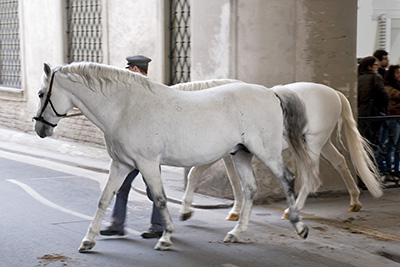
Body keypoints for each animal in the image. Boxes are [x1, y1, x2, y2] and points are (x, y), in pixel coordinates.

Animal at [33, 62, 316, 253]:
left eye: (40, 93)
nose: (39, 128)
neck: (124, 108)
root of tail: (271, 93)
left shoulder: (147, 163)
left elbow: (159, 199)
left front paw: (165, 237)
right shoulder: (121, 164)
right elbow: (105, 199)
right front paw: (88, 240)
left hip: (265, 152)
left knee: (287, 179)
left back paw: (299, 226)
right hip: (240, 154)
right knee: (249, 188)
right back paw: (236, 232)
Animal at [177, 82, 382, 223]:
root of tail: (335, 93)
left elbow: (198, 173)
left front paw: (187, 210)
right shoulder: (229, 154)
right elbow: (233, 181)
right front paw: (235, 211)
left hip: (314, 143)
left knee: (311, 174)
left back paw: (293, 209)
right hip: (321, 142)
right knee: (339, 162)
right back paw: (354, 200)